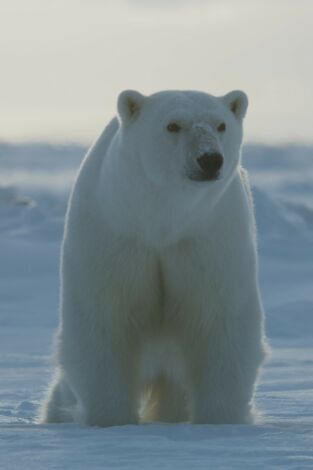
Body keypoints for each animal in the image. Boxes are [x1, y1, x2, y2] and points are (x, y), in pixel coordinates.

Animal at [39, 88, 266, 426]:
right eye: (173, 125)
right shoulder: (116, 234)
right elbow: (104, 321)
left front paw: (219, 421)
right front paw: (111, 420)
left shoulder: (208, 237)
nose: (209, 159)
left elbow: (220, 321)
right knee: (60, 397)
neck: (162, 221)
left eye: (221, 124)